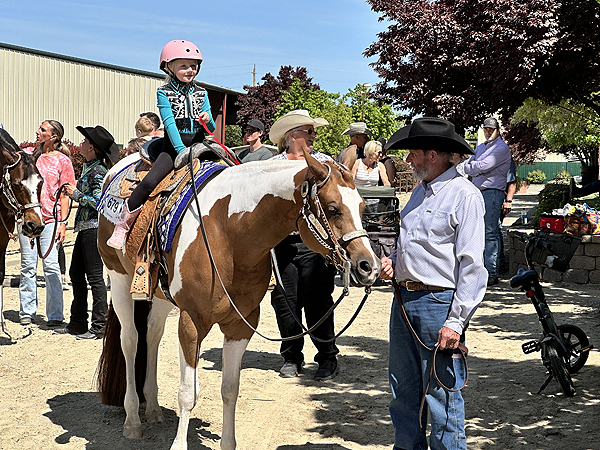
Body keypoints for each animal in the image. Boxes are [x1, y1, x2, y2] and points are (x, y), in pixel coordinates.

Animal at [97, 149, 380, 448]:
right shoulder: (191, 322)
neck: (229, 232)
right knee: (130, 340)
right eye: (333, 208)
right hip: (119, 279)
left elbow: (230, 389)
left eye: (363, 207)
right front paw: (179, 443)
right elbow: (188, 393)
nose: (369, 267)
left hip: (160, 294)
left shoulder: (241, 325)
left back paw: (152, 408)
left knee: (152, 335)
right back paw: (132, 420)